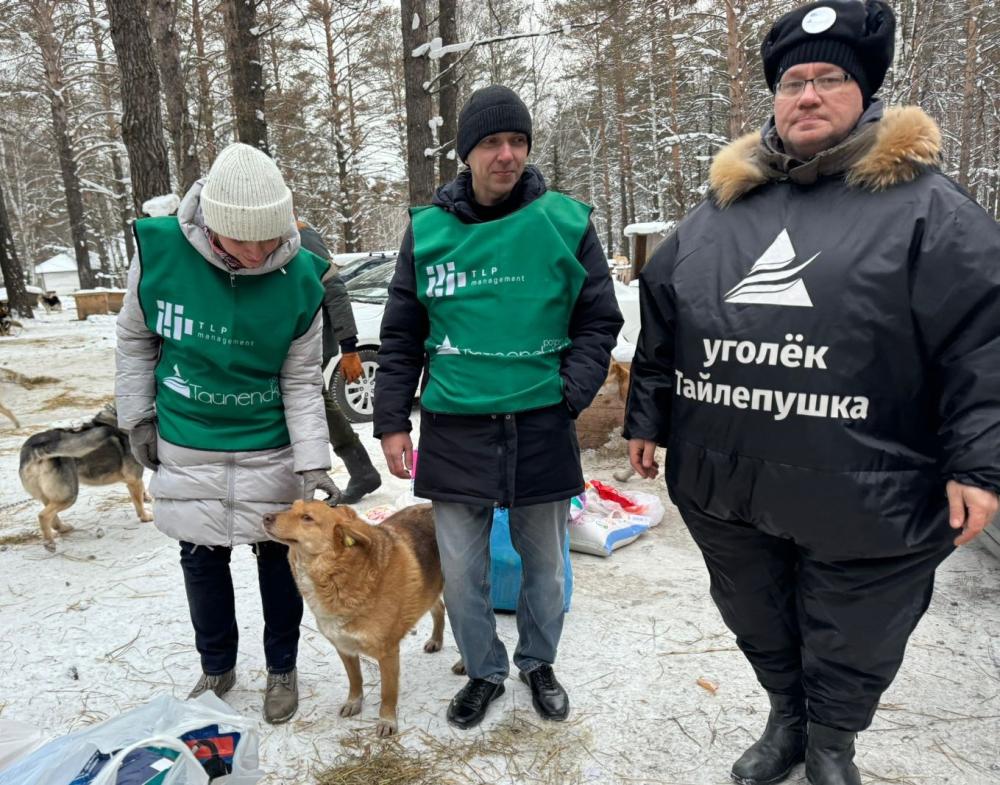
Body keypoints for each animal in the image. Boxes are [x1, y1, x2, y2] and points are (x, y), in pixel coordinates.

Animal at [18, 408, 151, 548]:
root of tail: (36, 446)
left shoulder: (135, 480)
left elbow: (142, 491)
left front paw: (147, 498)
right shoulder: (134, 479)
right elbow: (139, 503)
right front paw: (145, 517)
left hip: (50, 496)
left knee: (53, 519)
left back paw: (63, 529)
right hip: (69, 495)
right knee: (43, 515)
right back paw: (49, 543)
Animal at [266, 502, 454, 736]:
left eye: (307, 518)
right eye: (291, 507)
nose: (265, 517)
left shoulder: (388, 652)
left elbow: (387, 692)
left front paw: (387, 720)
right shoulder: (343, 646)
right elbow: (355, 679)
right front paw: (354, 702)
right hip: (430, 591)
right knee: (439, 608)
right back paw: (436, 640)